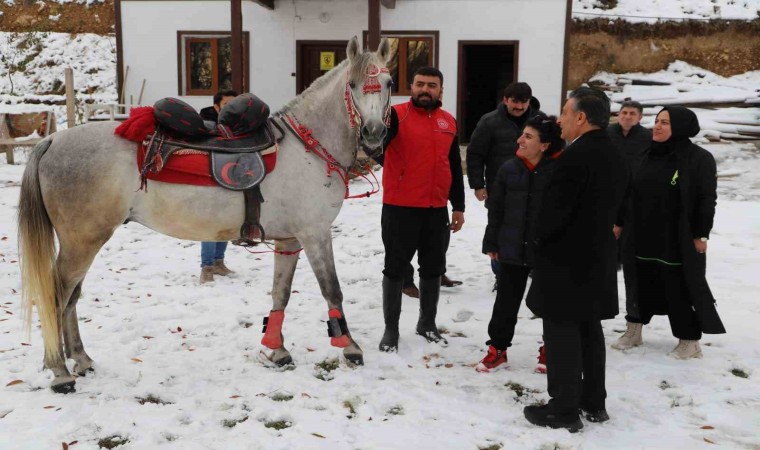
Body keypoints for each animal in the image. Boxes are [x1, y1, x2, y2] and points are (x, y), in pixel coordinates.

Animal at [19, 37, 392, 392]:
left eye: (388, 82)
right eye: (354, 84)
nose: (373, 134)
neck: (308, 148)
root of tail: (53, 141)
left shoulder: (289, 240)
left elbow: (280, 293)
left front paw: (276, 350)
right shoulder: (315, 234)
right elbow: (332, 290)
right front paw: (350, 348)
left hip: (82, 242)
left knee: (70, 299)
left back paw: (81, 360)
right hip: (82, 242)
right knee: (56, 297)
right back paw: (60, 373)